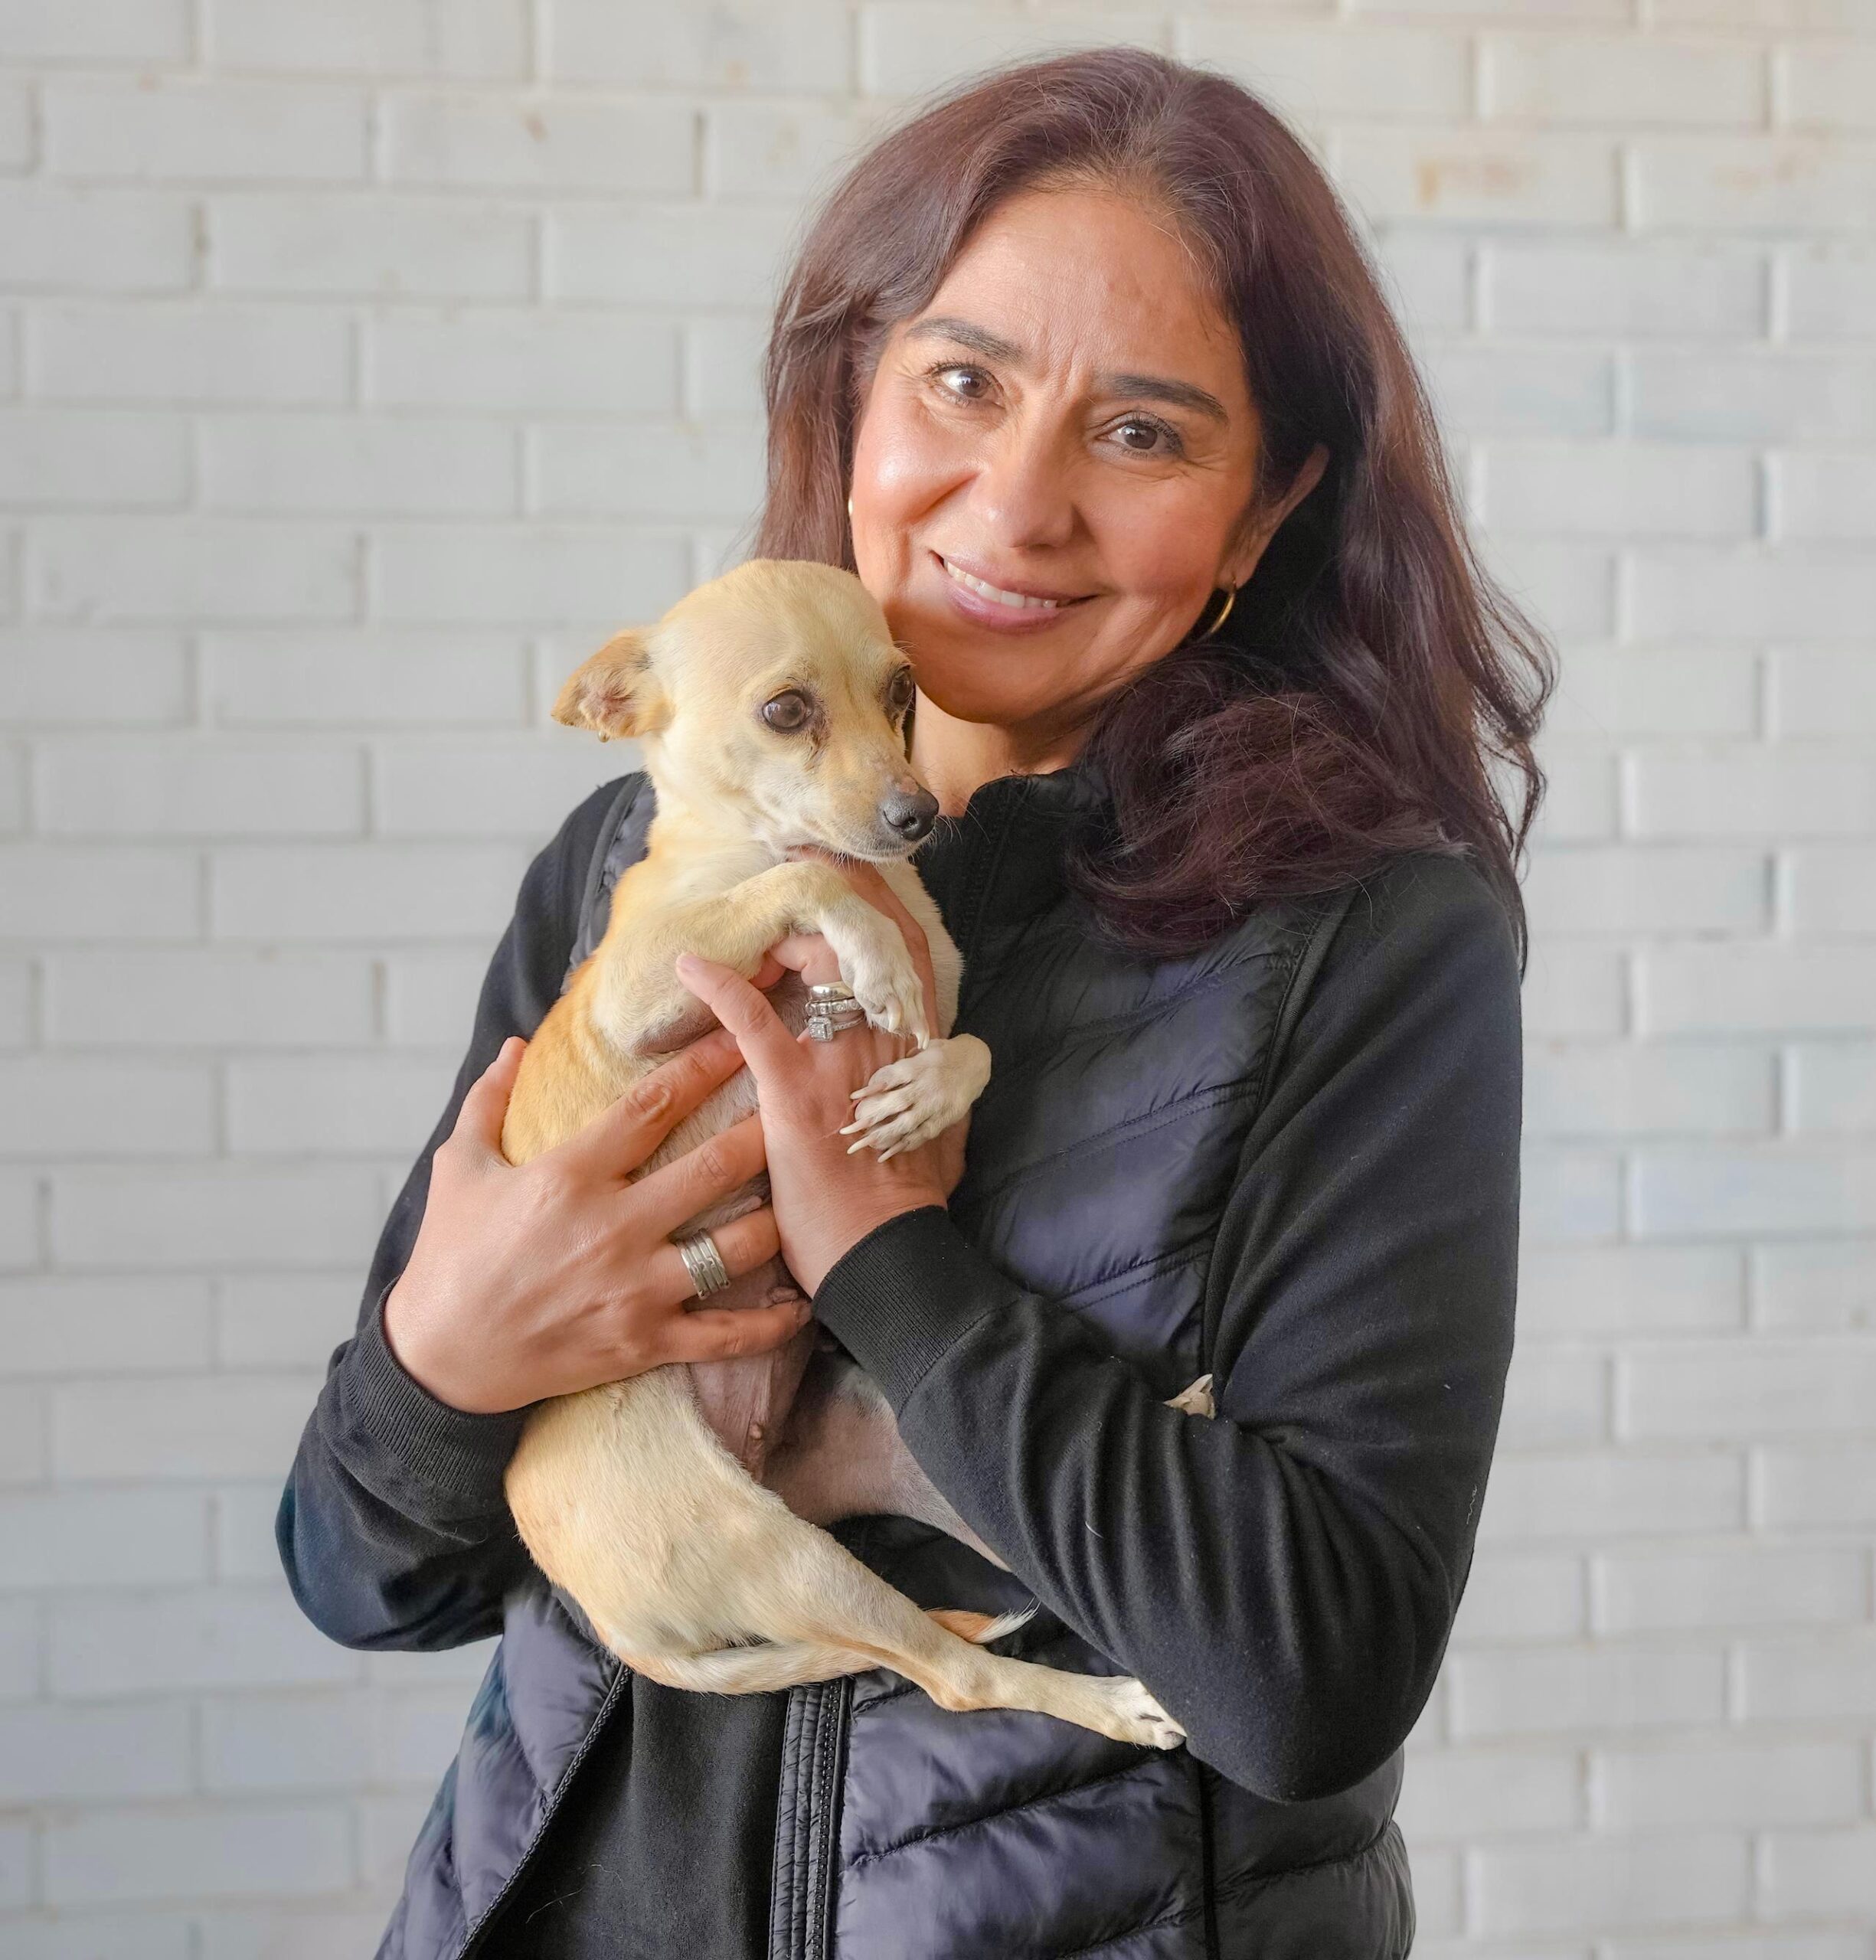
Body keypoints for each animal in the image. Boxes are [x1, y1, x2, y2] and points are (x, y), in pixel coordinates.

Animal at [498, 558, 1186, 1749]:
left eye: (902, 688)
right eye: (785, 712)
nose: (917, 816)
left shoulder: (944, 1007)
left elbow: (969, 1042)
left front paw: (923, 1083)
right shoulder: (640, 998)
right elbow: (797, 888)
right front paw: (861, 945)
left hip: (908, 1447)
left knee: (1035, 1566)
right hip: (781, 1554)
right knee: (954, 1674)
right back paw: (1105, 1700)